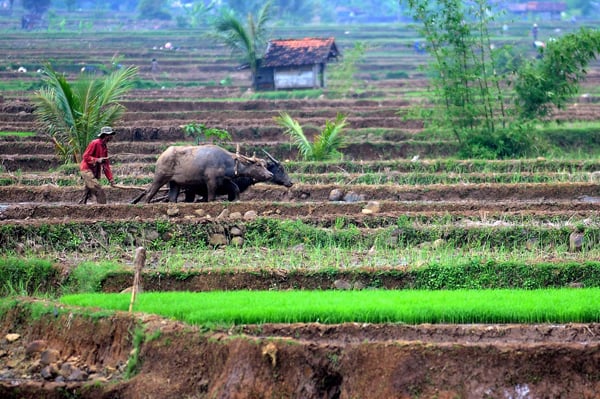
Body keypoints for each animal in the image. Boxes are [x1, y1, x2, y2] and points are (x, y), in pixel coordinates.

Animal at [135, 145, 274, 205]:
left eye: (264, 164)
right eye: (258, 165)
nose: (270, 175)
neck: (226, 162)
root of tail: (162, 155)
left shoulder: (224, 180)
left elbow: (236, 188)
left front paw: (236, 200)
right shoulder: (211, 181)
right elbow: (211, 197)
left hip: (174, 183)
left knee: (172, 197)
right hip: (160, 177)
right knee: (150, 192)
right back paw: (145, 203)